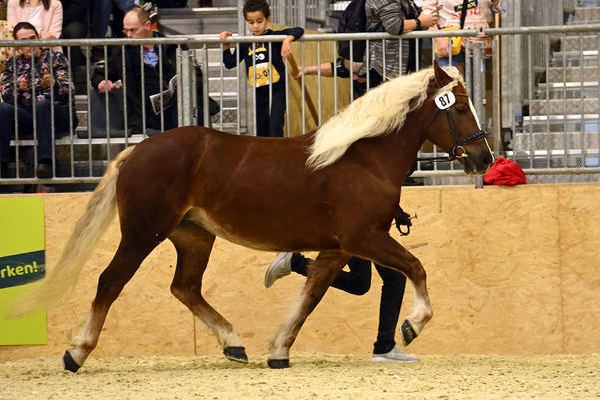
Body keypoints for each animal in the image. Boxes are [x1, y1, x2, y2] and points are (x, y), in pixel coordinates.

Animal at [7, 63, 492, 372]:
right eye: (459, 107)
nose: (484, 159)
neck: (362, 158)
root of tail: (136, 150)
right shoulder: (364, 239)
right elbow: (416, 267)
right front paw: (412, 326)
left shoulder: (338, 249)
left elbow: (310, 296)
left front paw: (278, 351)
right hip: (144, 232)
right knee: (110, 282)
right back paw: (76, 353)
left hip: (194, 237)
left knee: (185, 288)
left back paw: (234, 345)